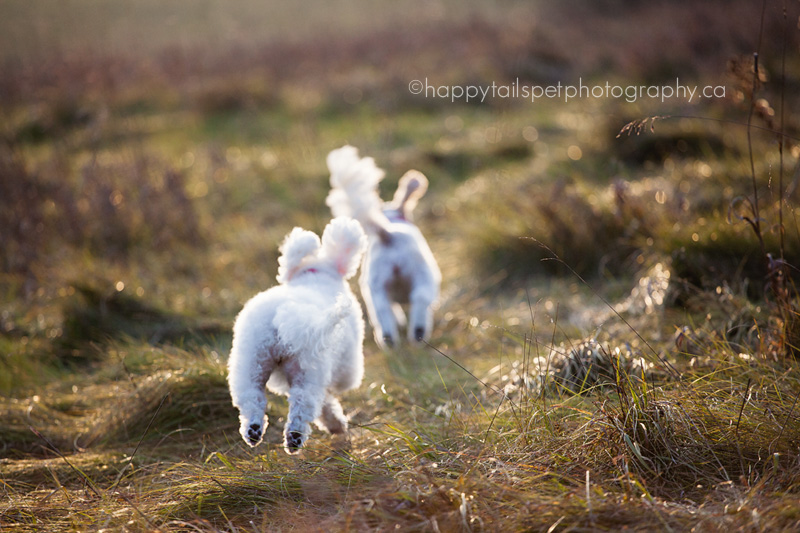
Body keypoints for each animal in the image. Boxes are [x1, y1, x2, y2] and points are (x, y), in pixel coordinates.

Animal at [227, 216, 368, 454]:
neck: (315, 274)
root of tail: (284, 316)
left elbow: (326, 403)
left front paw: (335, 423)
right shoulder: (342, 367)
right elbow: (328, 398)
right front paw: (336, 424)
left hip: (251, 360)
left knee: (251, 396)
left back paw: (253, 430)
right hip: (309, 370)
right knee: (303, 402)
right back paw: (294, 438)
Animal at [324, 144, 440, 350]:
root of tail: (388, 236)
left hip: (376, 289)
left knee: (384, 315)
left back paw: (389, 340)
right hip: (422, 276)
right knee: (420, 301)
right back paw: (418, 333)